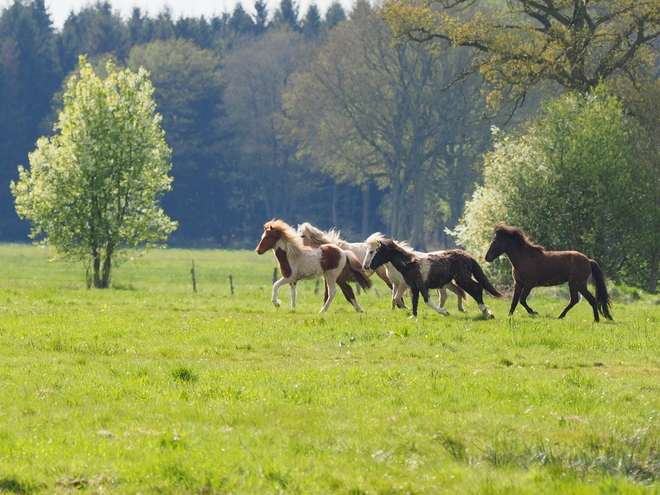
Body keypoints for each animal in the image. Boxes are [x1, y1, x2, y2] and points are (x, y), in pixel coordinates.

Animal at [366, 239, 500, 318]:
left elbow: (428, 301)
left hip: (462, 279)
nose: (370, 265)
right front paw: (413, 316)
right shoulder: (413, 287)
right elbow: (414, 301)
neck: (409, 264)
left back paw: (486, 312)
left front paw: (444, 312)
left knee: (477, 288)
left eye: (377, 251)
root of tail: (468, 256)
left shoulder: (421, 285)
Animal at [482, 223, 612, 324]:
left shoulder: (530, 283)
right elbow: (514, 300)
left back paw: (560, 316)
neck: (524, 258)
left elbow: (522, 299)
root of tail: (589, 260)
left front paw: (534, 312)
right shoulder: (518, 283)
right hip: (580, 284)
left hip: (574, 283)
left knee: (574, 300)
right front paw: (510, 314)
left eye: (495, 241)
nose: (487, 257)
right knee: (591, 300)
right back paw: (596, 320)